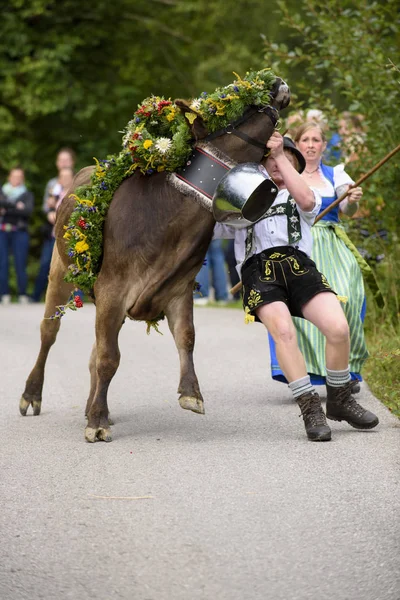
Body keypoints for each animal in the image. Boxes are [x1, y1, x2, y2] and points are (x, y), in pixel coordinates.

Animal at [20, 77, 290, 440]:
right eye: (231, 107)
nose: (275, 82)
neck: (169, 223)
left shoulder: (179, 287)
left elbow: (186, 337)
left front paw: (191, 393)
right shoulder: (113, 288)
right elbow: (109, 358)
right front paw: (97, 424)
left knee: (92, 350)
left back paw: (93, 406)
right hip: (60, 271)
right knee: (49, 332)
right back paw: (32, 396)